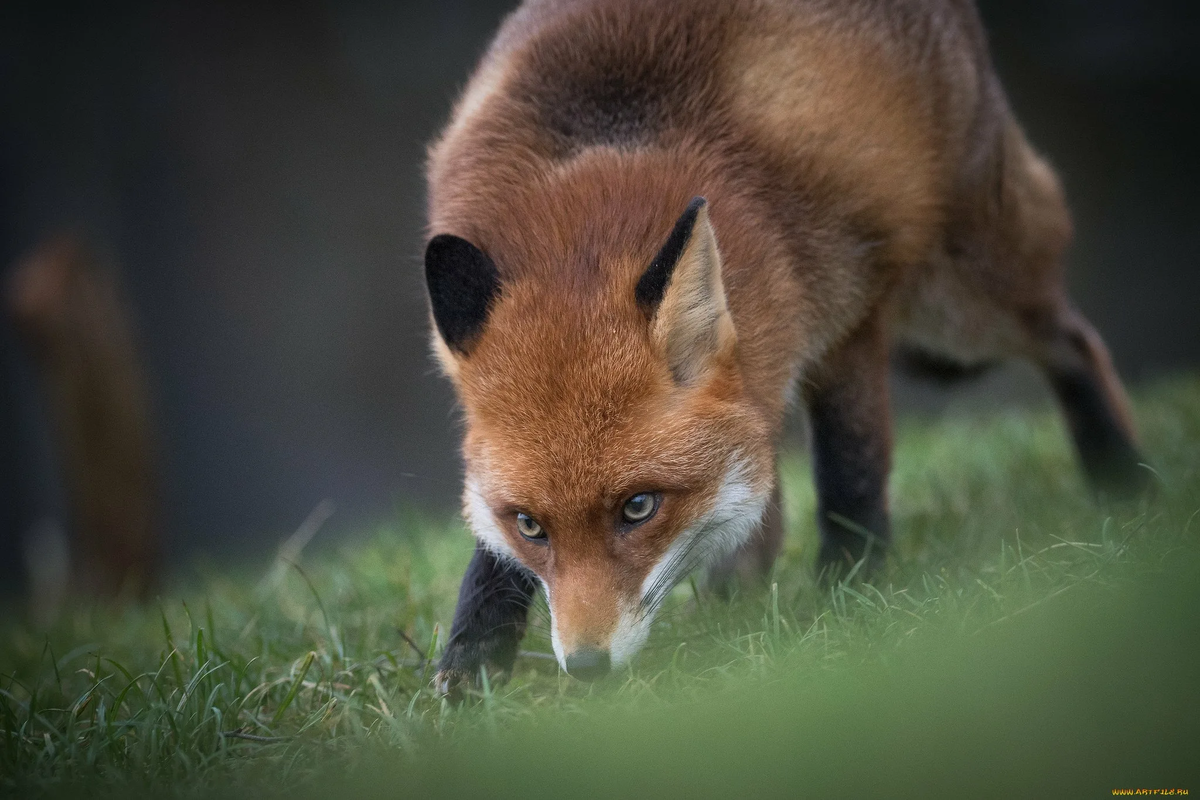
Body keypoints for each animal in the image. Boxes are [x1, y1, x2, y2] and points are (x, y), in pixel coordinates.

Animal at [422, 0, 1142, 690]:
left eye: (638, 507)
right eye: (530, 525)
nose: (587, 667)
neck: (606, 171)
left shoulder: (848, 312)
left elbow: (851, 469)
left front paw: (852, 596)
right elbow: (491, 557)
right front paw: (473, 659)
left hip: (959, 299)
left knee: (1074, 340)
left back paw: (1125, 481)